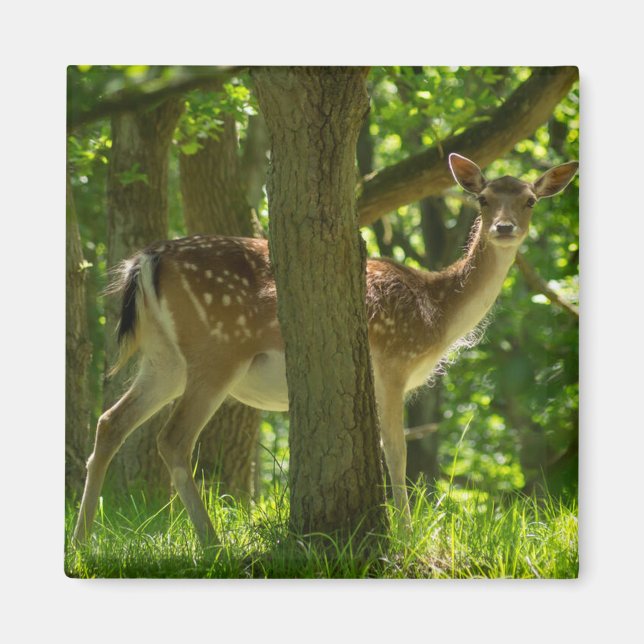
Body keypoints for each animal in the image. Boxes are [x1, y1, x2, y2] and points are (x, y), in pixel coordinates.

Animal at [73, 153, 578, 548]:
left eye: (530, 200)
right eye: (484, 198)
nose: (505, 228)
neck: (435, 313)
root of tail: (146, 259)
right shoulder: (392, 363)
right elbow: (396, 451)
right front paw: (406, 536)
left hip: (165, 360)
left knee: (110, 422)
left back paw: (82, 541)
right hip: (216, 350)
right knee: (172, 439)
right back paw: (211, 543)